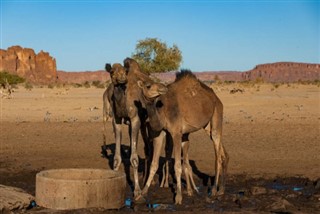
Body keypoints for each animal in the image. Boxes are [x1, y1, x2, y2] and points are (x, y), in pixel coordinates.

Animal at [136, 70, 229, 204]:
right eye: (148, 85)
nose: (163, 88)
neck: (162, 110)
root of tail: (217, 99)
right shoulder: (160, 133)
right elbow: (154, 163)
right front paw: (142, 193)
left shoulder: (176, 133)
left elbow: (177, 166)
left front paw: (178, 197)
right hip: (207, 126)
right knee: (223, 153)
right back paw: (221, 189)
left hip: (216, 116)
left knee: (217, 157)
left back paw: (213, 191)